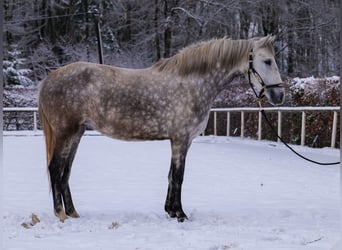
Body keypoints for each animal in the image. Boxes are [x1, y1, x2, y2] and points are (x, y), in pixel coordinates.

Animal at [38, 35, 284, 223]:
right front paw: (180, 214)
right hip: (65, 133)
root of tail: (50, 78)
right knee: (55, 168)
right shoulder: (180, 139)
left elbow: (170, 175)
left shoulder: (181, 140)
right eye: (267, 61)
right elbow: (178, 176)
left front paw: (170, 211)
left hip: (77, 133)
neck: (192, 83)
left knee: (66, 171)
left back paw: (72, 212)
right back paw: (60, 214)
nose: (279, 95)